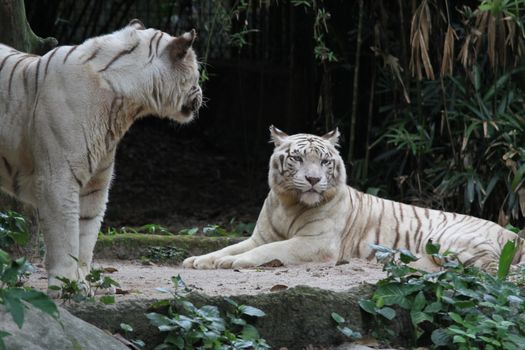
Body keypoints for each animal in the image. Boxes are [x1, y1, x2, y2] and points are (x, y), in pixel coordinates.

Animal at [0, 18, 202, 292]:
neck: (124, 106)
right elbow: (65, 235)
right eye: (197, 73)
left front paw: (83, 282)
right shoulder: (58, 180)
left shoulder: (96, 183)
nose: (201, 93)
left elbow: (85, 234)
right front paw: (65, 283)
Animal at [182, 126, 520, 270]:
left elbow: (266, 252)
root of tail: (513, 235)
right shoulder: (260, 236)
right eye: (297, 158)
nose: (313, 180)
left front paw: (230, 262)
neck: (289, 203)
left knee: (487, 270)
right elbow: (231, 246)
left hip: (451, 241)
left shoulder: (315, 243)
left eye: (324, 161)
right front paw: (199, 260)